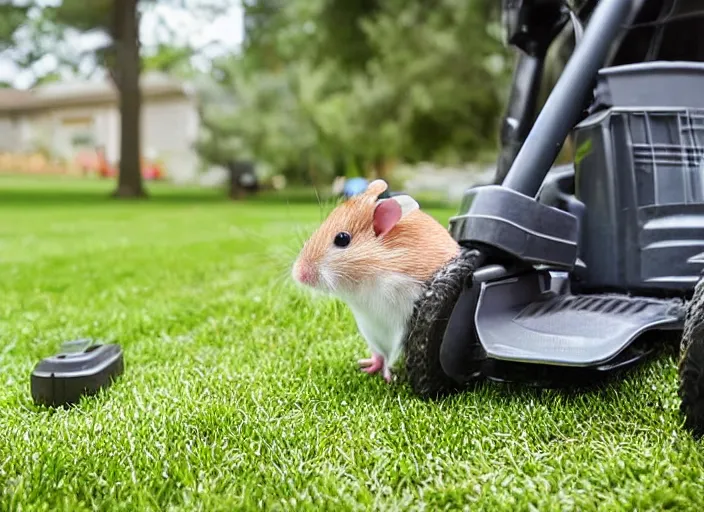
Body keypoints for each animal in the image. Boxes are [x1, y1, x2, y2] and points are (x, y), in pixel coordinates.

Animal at [290, 178, 460, 382]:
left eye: (342, 239)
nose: (298, 273)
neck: (368, 279)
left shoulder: (401, 322)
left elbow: (391, 355)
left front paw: (387, 378)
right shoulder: (367, 324)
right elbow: (379, 352)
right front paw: (366, 367)